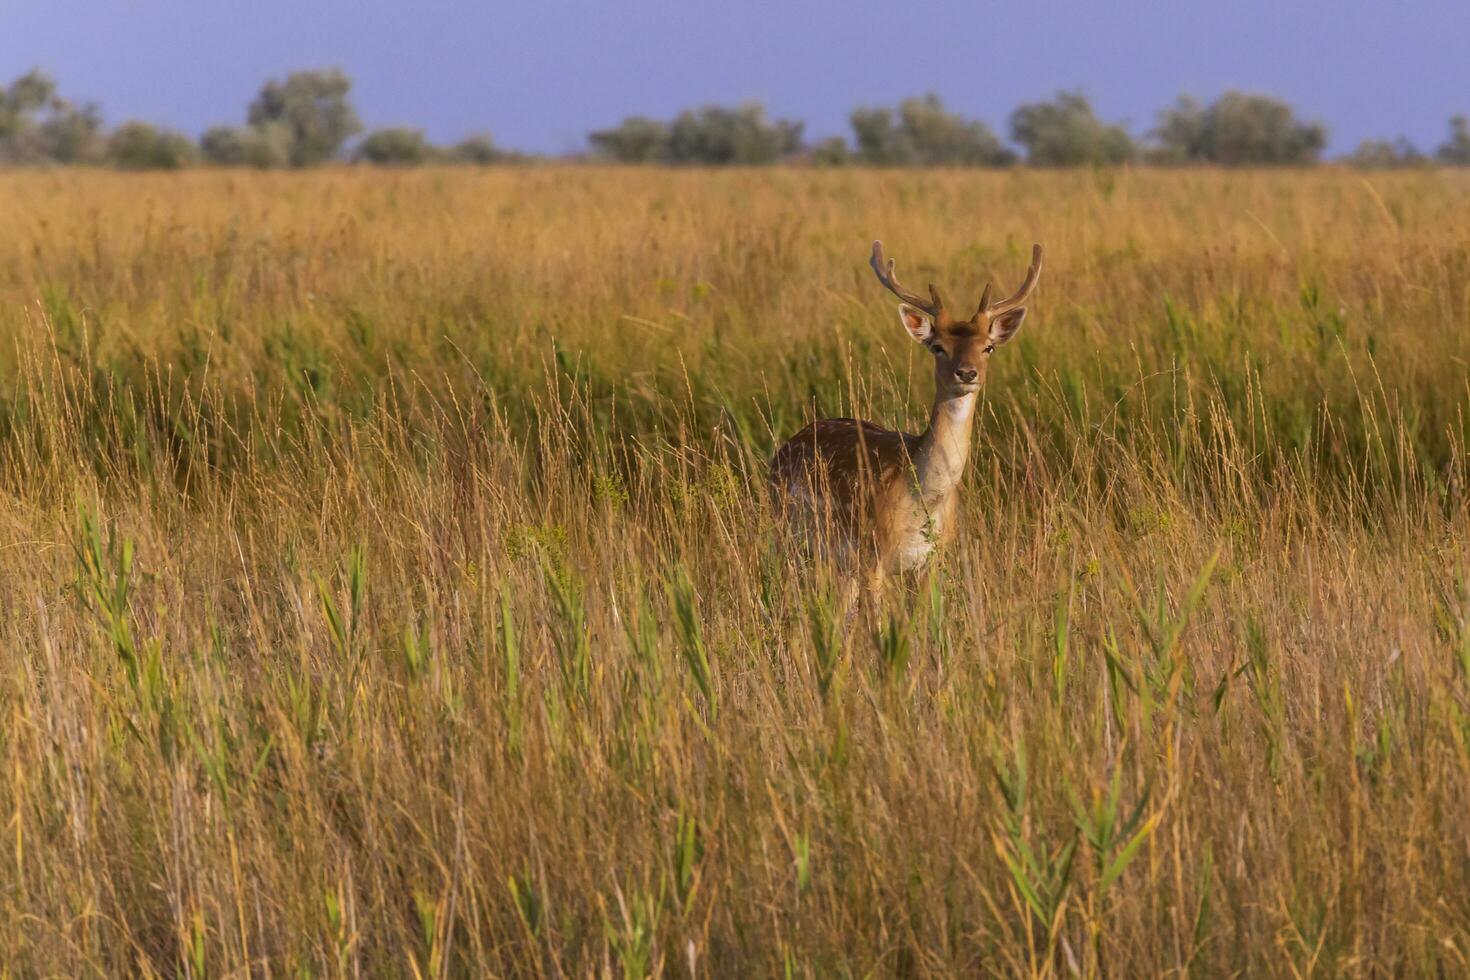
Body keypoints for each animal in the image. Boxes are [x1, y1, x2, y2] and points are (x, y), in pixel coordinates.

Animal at [770, 240, 1046, 602]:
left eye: (988, 347)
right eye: (938, 346)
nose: (967, 373)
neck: (925, 500)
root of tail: (778, 454)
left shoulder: (932, 560)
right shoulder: (872, 554)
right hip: (788, 533)